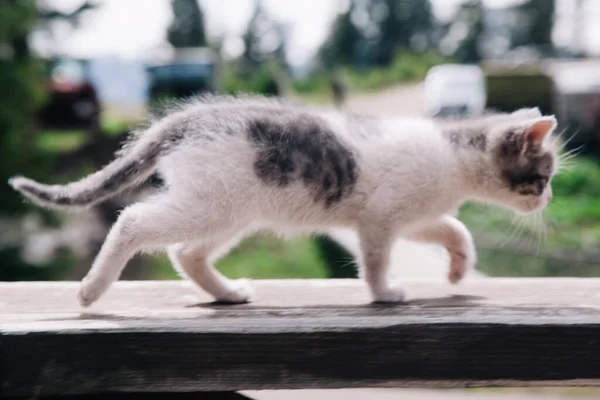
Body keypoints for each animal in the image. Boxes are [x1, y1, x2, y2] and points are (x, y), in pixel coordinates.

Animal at [8, 96, 556, 306]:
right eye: (542, 175)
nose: (547, 199)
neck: (453, 155)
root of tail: (187, 120)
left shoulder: (413, 215)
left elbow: (453, 228)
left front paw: (459, 270)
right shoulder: (379, 218)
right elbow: (376, 259)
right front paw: (384, 293)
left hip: (231, 212)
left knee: (186, 253)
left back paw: (228, 293)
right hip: (211, 206)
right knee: (133, 220)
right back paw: (91, 289)